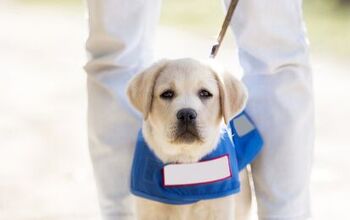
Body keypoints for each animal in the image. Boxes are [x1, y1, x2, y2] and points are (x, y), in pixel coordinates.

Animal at [126, 57, 252, 219]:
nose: (186, 114)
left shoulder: (219, 209)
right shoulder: (149, 210)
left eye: (205, 93)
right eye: (167, 94)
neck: (185, 161)